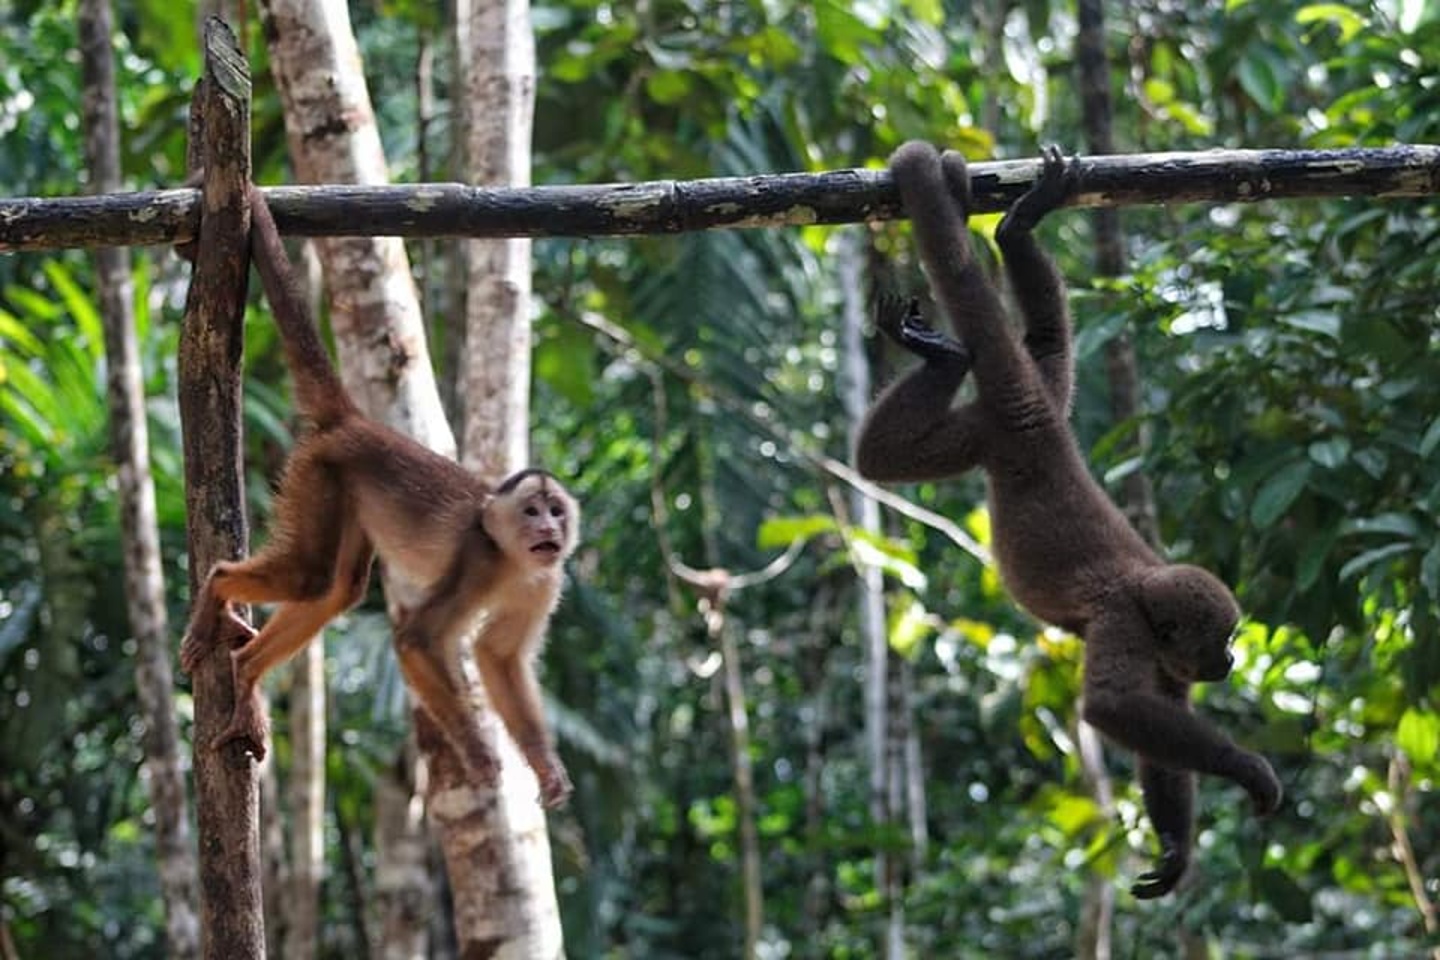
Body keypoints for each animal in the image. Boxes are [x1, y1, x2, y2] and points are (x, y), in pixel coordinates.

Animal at [179, 183, 577, 808]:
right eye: (531, 509)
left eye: (555, 511)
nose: (548, 530)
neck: (512, 558)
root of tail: (356, 422)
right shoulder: (477, 560)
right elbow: (416, 640)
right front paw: (478, 754)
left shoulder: (544, 582)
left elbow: (499, 660)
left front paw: (544, 766)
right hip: (319, 471)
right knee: (311, 576)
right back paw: (218, 588)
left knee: (337, 587)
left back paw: (245, 670)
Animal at [855, 141, 1281, 898]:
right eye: (1225, 638)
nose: (1231, 660)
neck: (1146, 594)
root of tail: (1046, 427)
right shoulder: (1122, 626)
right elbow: (1112, 708)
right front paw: (1245, 768)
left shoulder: (1166, 664)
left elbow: (1162, 733)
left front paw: (1175, 847)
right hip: (1012, 428)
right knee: (886, 452)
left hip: (1007, 420)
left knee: (1044, 346)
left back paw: (988, 280)